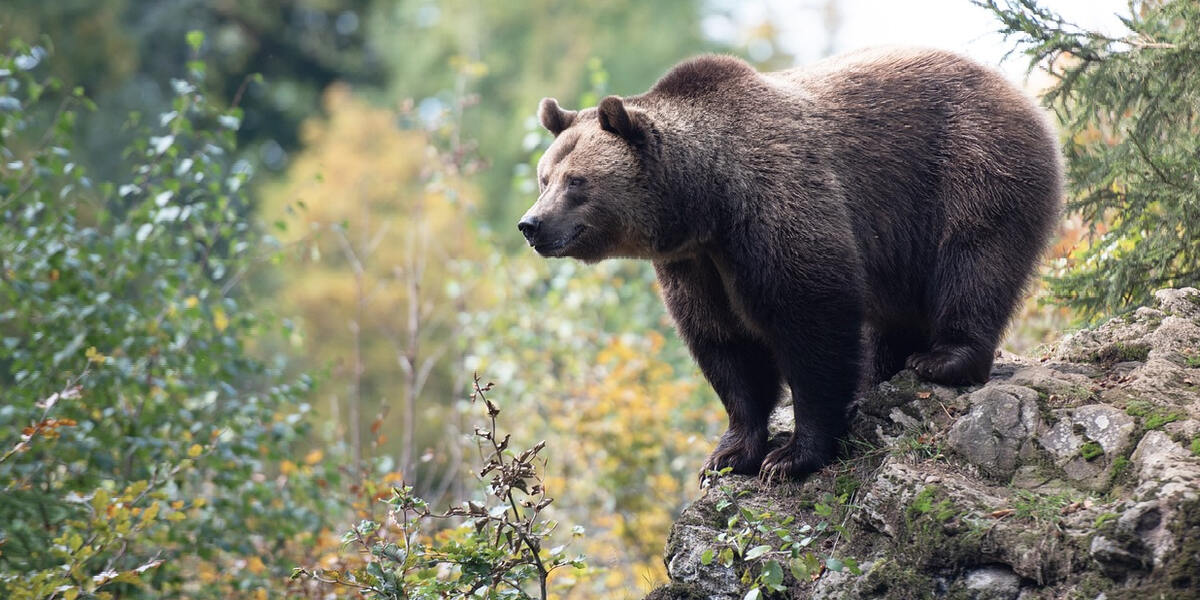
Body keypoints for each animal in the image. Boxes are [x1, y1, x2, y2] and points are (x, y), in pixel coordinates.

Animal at [516, 46, 1060, 480]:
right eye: (544, 177)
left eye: (577, 182)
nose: (531, 224)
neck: (707, 201)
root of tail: (1019, 90)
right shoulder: (697, 264)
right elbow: (726, 346)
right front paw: (729, 454)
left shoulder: (776, 205)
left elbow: (811, 321)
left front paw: (792, 456)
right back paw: (881, 372)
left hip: (969, 164)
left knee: (975, 260)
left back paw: (943, 358)